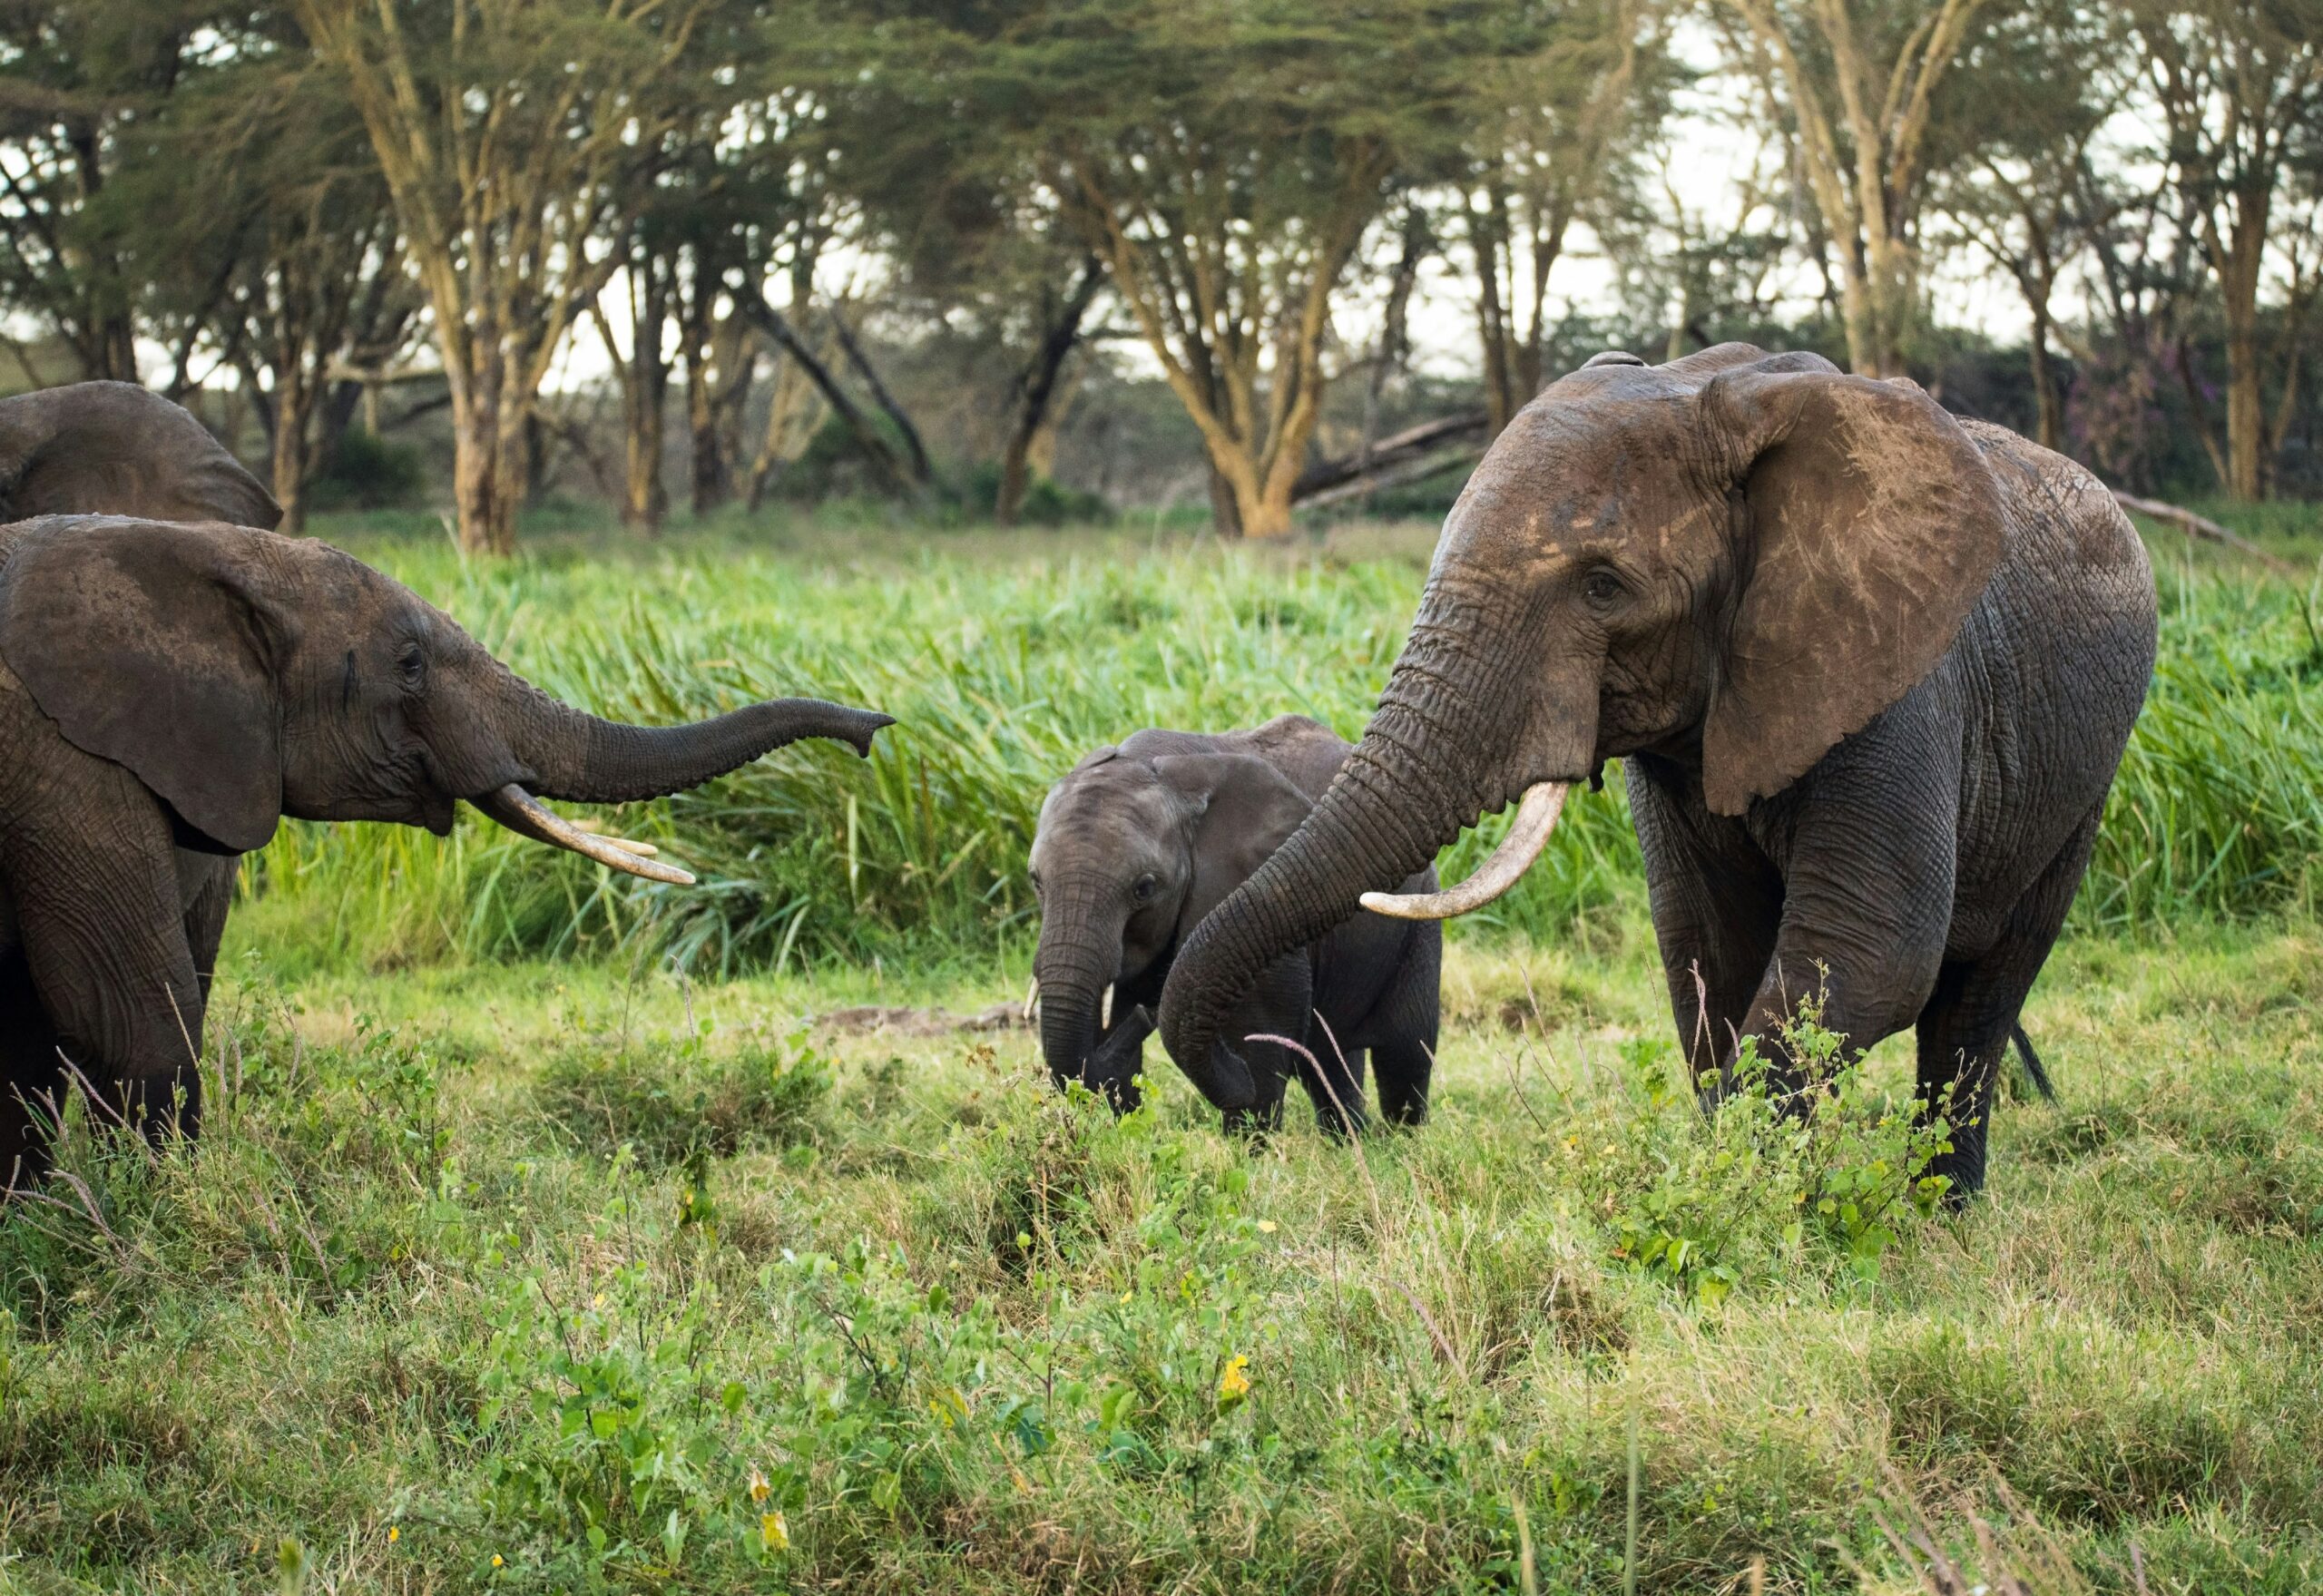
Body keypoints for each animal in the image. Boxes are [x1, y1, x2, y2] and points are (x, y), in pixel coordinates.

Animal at [0, 517, 887, 1189]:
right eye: (411, 664)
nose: (874, 728)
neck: (187, 551)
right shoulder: (64, 766)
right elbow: (128, 1018)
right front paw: (155, 1216)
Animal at [1162, 346, 2155, 1199]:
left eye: (1604, 588)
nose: (1248, 1092)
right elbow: (1707, 949)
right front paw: (1749, 1185)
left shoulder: (1902, 675)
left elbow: (1866, 945)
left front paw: (1737, 1201)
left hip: (2084, 781)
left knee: (1980, 993)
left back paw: (1943, 1212)